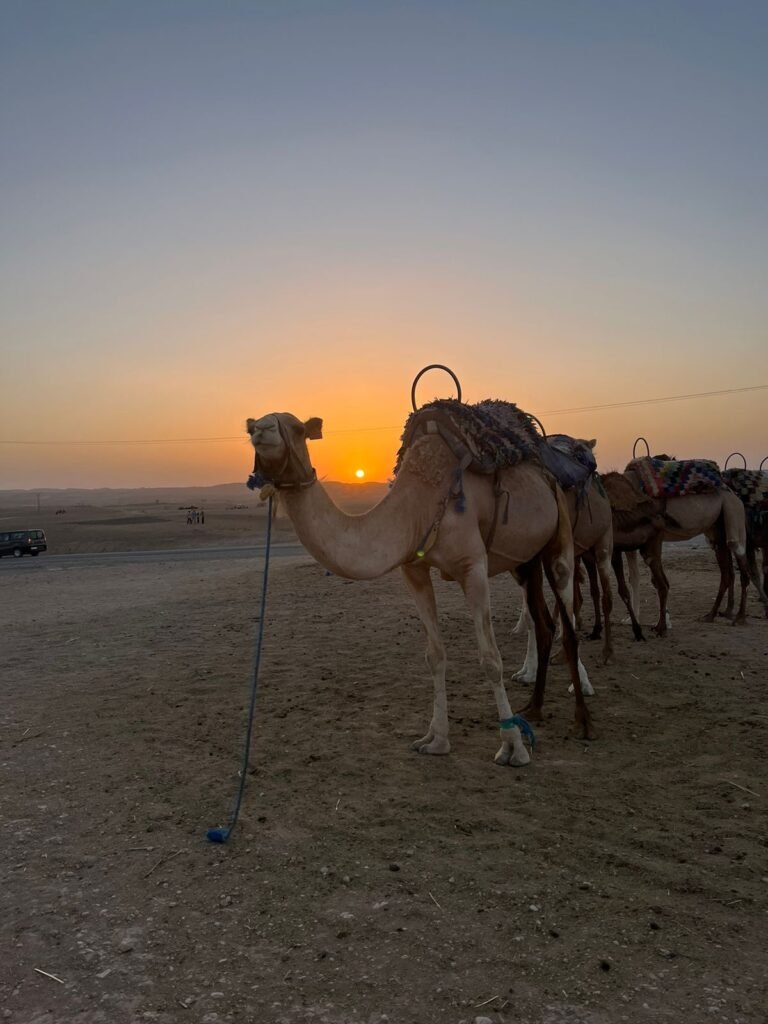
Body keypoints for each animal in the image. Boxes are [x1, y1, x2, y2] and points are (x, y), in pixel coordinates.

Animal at [245, 407, 593, 767]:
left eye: (298, 429)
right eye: (252, 427)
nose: (261, 429)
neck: (419, 503)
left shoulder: (473, 566)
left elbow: (491, 659)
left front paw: (513, 746)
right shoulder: (413, 569)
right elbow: (434, 655)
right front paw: (436, 739)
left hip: (560, 537)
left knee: (568, 622)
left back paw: (582, 715)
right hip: (526, 559)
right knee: (544, 623)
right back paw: (534, 708)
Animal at [602, 464, 767, 636]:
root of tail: (733, 492)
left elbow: (647, 579)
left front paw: (662, 623)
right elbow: (636, 578)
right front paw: (634, 620)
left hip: (732, 512)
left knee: (742, 565)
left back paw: (740, 617)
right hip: (717, 529)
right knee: (727, 573)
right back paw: (712, 615)